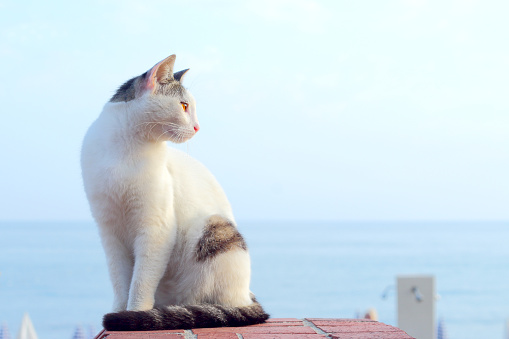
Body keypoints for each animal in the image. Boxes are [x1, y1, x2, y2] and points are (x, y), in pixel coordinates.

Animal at [80, 53, 266, 332]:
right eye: (184, 106)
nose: (198, 127)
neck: (125, 151)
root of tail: (248, 295)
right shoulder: (109, 232)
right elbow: (120, 280)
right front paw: (119, 311)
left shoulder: (156, 230)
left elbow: (140, 282)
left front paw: (134, 314)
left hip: (217, 231)